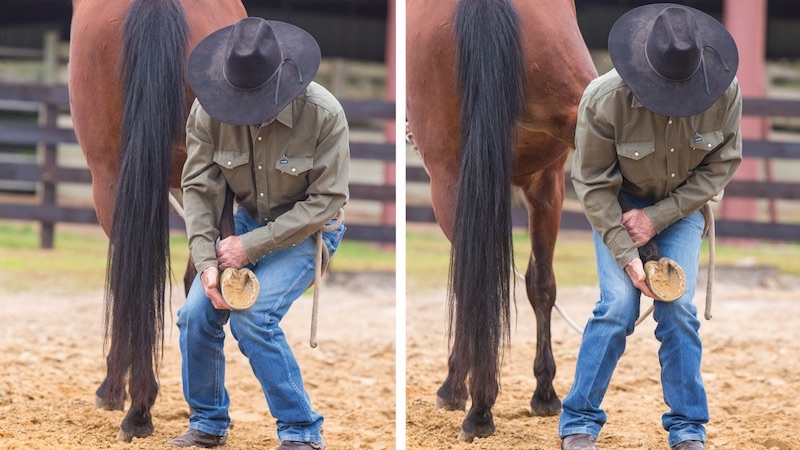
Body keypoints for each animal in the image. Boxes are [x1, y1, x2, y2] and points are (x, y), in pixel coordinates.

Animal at [406, 0, 597, 441]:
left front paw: (455, 388)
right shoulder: (548, 180)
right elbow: (540, 285)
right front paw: (545, 392)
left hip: (452, 182)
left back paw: (474, 403)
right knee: (522, 281)